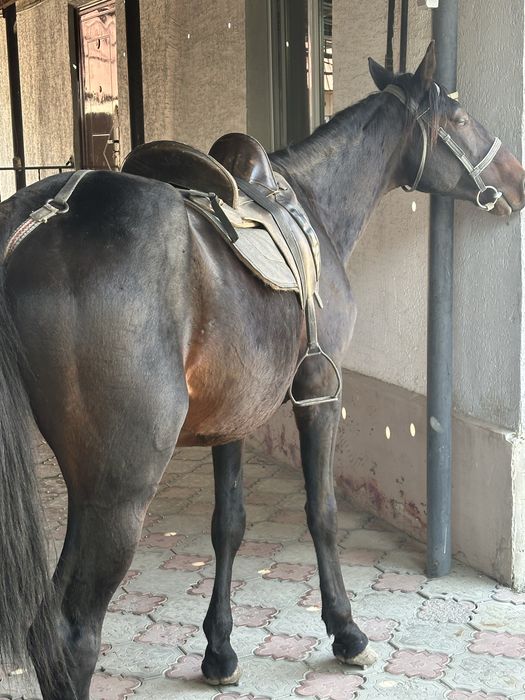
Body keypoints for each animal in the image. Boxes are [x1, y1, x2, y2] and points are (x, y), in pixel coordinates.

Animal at [0, 43, 523, 699]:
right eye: (457, 117)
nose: (516, 179)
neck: (313, 205)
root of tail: (39, 218)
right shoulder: (320, 392)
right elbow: (321, 512)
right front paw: (346, 632)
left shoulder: (232, 413)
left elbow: (228, 523)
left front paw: (219, 649)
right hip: (116, 489)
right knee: (71, 634)